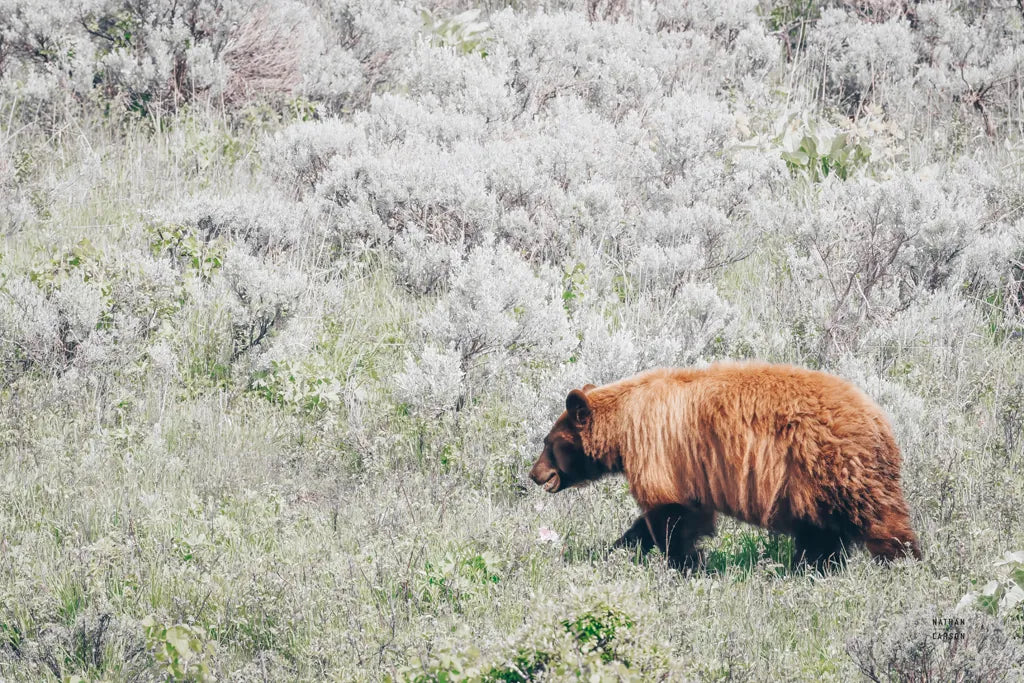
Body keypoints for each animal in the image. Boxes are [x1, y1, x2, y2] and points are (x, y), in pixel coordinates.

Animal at [528, 362, 922, 570]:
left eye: (548, 442)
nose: (535, 474)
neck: (625, 423)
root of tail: (880, 420)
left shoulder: (657, 449)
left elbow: (670, 515)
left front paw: (683, 564)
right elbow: (673, 516)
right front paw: (617, 549)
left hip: (830, 463)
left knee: (877, 517)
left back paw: (902, 562)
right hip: (814, 485)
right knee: (821, 532)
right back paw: (811, 568)